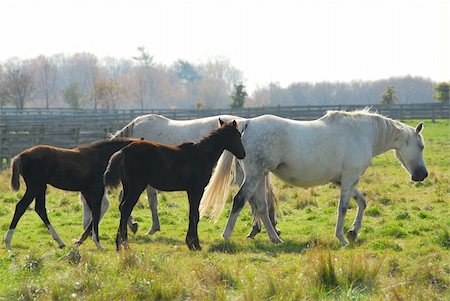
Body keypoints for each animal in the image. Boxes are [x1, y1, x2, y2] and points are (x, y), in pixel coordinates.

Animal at [81, 113, 278, 236]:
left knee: (249, 198)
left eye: (88, 203)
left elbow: (150, 202)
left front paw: (147, 227)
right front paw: (136, 225)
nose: (86, 229)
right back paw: (260, 229)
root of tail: (245, 122)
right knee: (252, 199)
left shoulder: (147, 183)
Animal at [201, 109, 428, 245]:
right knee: (239, 200)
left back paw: (275, 239)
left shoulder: (345, 180)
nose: (422, 174)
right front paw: (342, 238)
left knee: (261, 207)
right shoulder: (349, 179)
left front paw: (353, 232)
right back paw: (226, 236)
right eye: (421, 146)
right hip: (255, 176)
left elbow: (362, 202)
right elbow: (343, 207)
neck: (361, 133)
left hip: (260, 177)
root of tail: (247, 123)